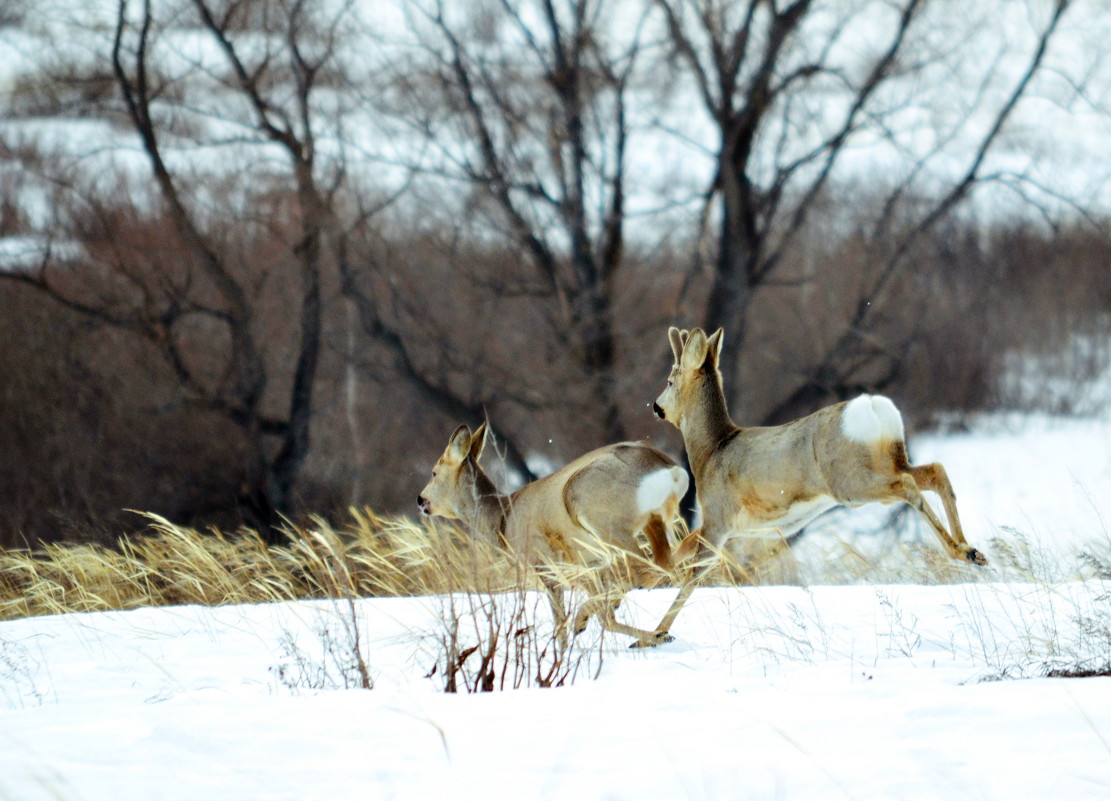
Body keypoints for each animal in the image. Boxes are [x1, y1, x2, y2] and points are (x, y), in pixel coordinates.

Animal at [417, 422, 688, 648]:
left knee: (644, 566)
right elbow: (607, 620)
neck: (503, 519)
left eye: (434, 472)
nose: (420, 500)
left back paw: (589, 618)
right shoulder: (590, 565)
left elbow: (562, 623)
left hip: (598, 514)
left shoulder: (545, 566)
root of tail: (668, 467)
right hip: (651, 522)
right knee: (666, 560)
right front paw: (655, 635)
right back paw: (652, 632)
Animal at [648, 324, 986, 644]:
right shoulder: (731, 528)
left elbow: (692, 575)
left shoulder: (718, 520)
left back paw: (961, 551)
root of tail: (874, 408)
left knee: (907, 486)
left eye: (669, 381)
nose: (655, 407)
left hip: (851, 483)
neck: (711, 450)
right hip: (891, 461)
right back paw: (970, 551)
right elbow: (680, 551)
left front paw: (654, 635)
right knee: (934, 472)